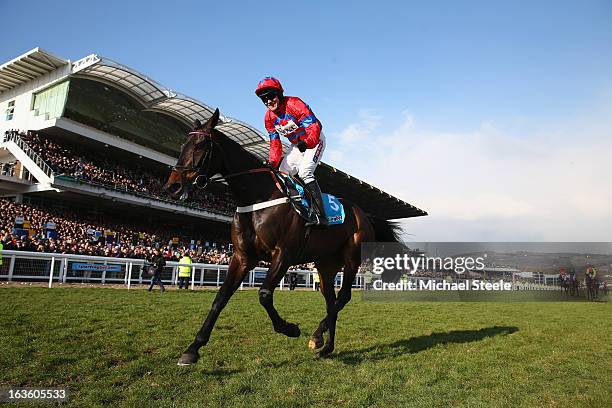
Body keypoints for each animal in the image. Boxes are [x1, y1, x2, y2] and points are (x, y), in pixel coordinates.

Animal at [163, 109, 402, 366]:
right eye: (182, 145)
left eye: (200, 145)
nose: (172, 186)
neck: (257, 197)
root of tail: (364, 214)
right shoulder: (243, 256)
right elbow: (221, 297)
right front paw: (193, 349)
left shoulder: (284, 254)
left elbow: (264, 294)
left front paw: (290, 328)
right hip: (325, 263)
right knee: (330, 299)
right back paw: (325, 344)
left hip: (351, 258)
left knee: (343, 296)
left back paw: (317, 335)